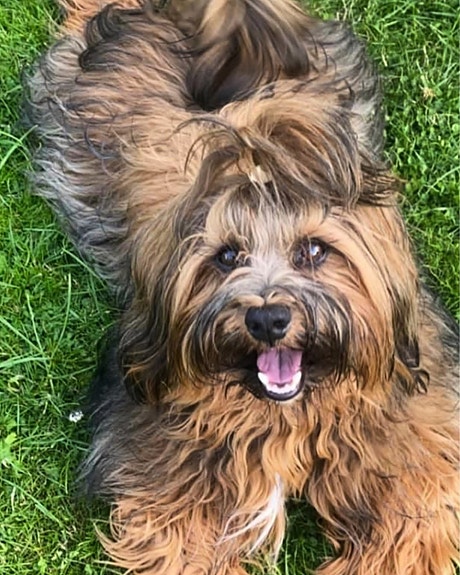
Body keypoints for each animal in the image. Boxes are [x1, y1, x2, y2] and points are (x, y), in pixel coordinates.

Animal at [26, 0, 459, 573]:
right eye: (227, 256)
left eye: (313, 250)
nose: (268, 318)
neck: (286, 413)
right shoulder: (176, 494)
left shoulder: (416, 470)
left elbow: (408, 531)